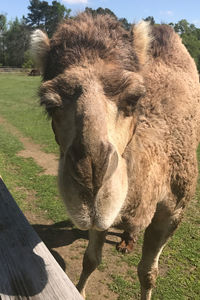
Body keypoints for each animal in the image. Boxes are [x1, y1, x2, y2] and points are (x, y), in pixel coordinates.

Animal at [30, 14, 200, 300]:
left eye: (134, 97)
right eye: (50, 104)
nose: (91, 183)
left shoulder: (174, 210)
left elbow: (148, 273)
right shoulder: (102, 217)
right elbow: (90, 259)